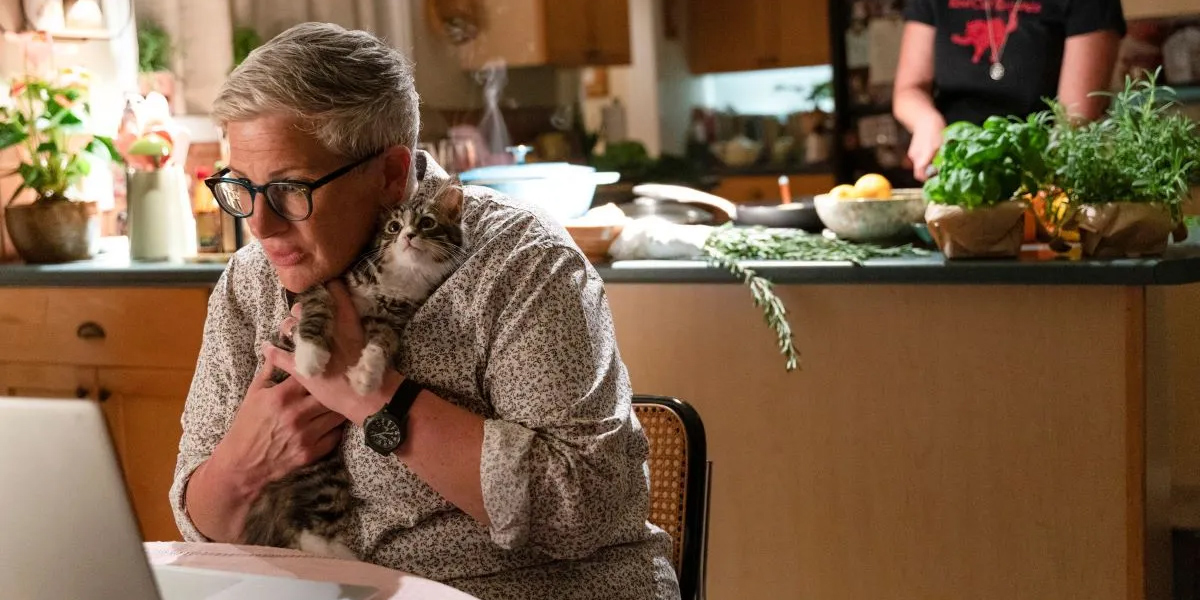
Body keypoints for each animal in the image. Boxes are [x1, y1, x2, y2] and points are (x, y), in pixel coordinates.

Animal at [241, 164, 465, 556]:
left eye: (427, 223)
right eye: (393, 227)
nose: (408, 236)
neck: (398, 278)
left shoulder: (392, 321)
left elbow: (380, 346)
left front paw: (366, 377)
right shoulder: (320, 286)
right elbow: (317, 311)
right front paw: (311, 357)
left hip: (326, 475)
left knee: (304, 527)